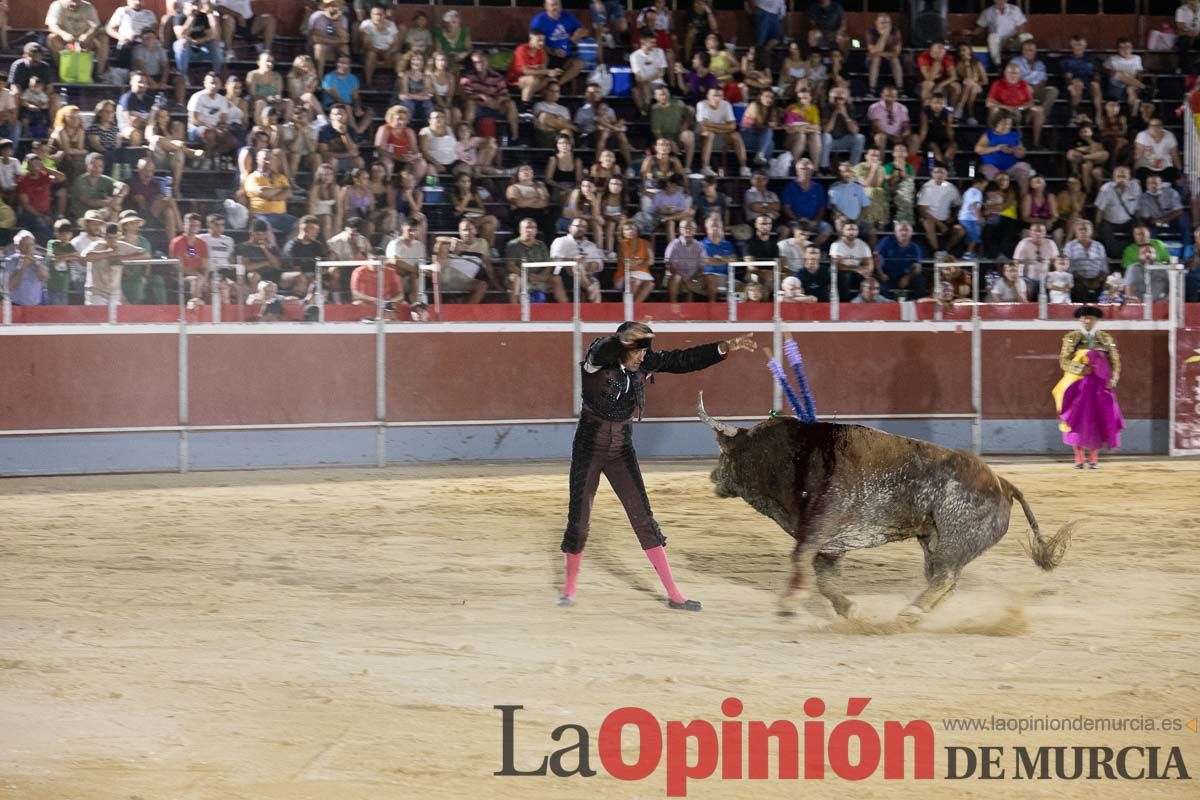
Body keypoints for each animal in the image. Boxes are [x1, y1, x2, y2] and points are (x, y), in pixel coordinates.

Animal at [700, 393, 1075, 618]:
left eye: (724, 453)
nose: (713, 475)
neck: (792, 457)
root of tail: (1003, 483)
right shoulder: (829, 545)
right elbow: (824, 579)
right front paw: (849, 609)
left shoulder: (817, 528)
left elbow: (801, 560)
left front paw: (789, 601)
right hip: (933, 541)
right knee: (945, 580)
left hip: (954, 541)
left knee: (944, 576)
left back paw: (911, 613)